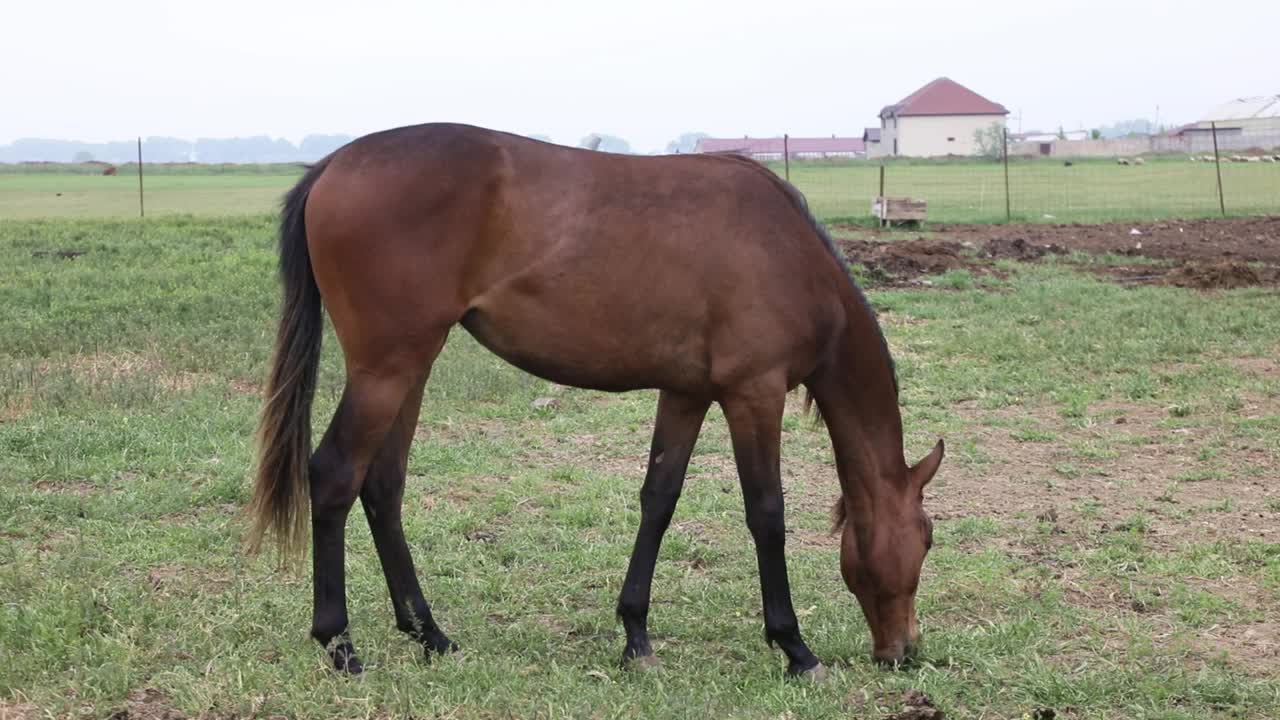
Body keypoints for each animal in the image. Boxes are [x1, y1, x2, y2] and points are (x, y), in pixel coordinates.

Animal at [244, 120, 942, 676]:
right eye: (928, 537)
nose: (904, 652)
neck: (789, 252)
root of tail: (334, 164)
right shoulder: (754, 394)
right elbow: (766, 514)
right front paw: (795, 648)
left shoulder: (686, 393)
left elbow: (659, 500)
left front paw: (635, 635)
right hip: (386, 370)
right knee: (334, 476)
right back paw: (339, 644)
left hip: (408, 370)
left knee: (383, 487)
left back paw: (430, 635)